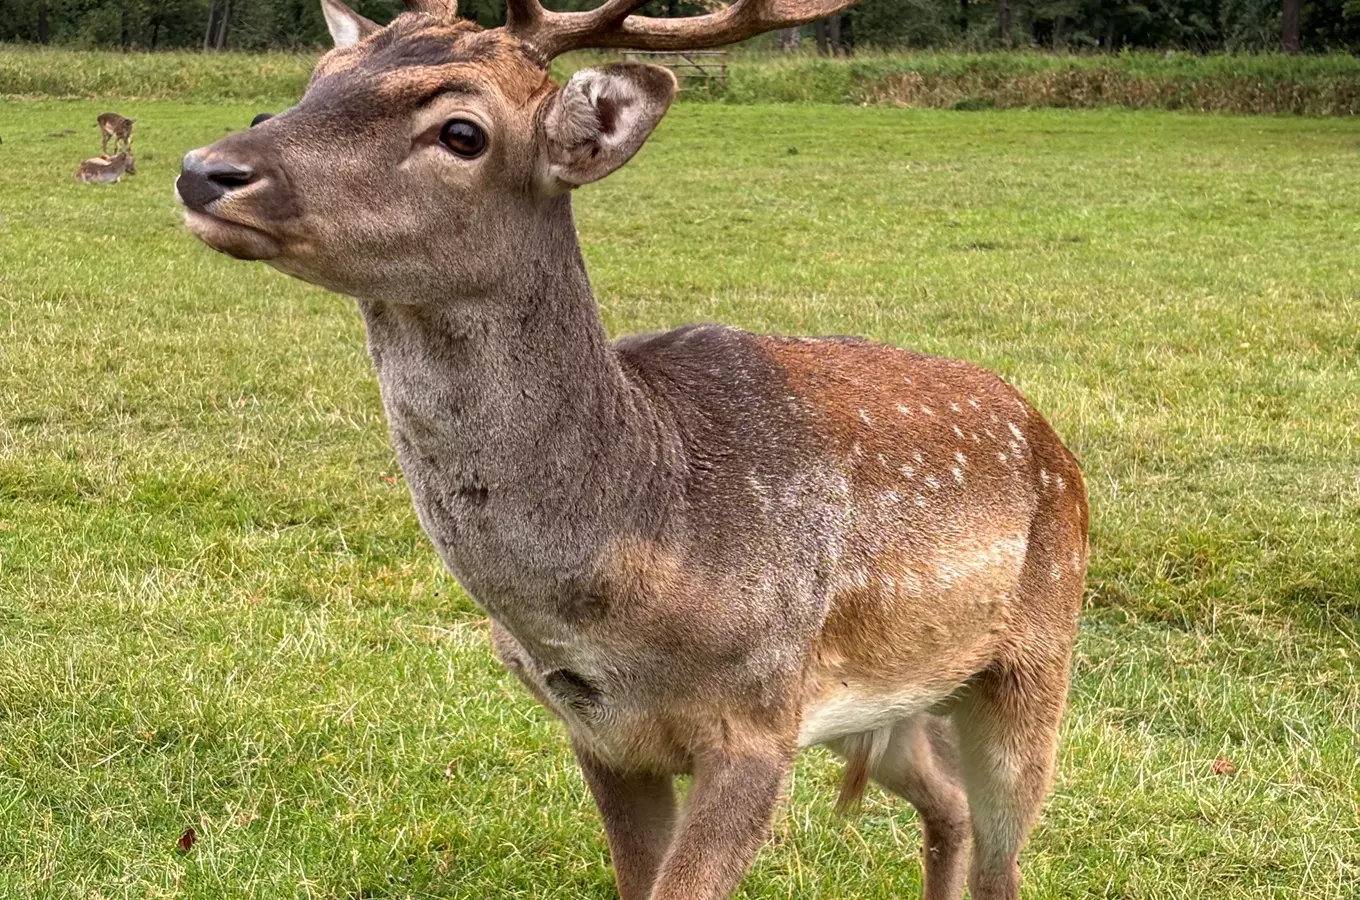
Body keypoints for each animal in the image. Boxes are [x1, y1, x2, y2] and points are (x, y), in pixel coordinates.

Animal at [175, 3, 1088, 897]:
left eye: (463, 132)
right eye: (317, 80)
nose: (205, 169)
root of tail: (1052, 440)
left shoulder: (760, 714)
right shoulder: (600, 733)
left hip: (1035, 660)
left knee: (1002, 854)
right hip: (884, 706)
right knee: (948, 806)